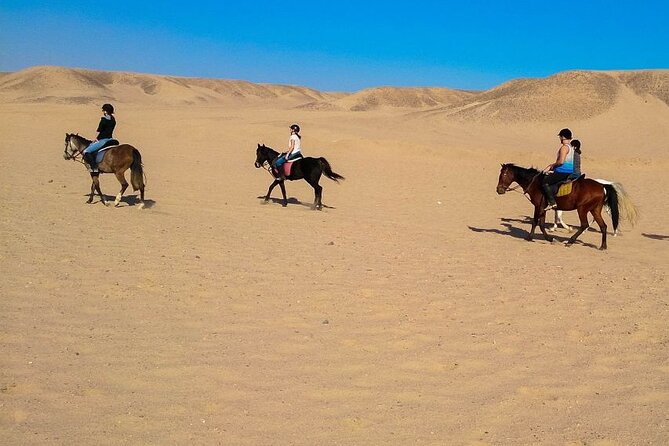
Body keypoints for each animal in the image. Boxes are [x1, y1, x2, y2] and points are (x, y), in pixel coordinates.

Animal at [496, 163, 637, 250]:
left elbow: (537, 222)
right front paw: (548, 237)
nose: (499, 190)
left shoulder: (539, 206)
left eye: (503, 175)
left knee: (584, 225)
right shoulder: (543, 207)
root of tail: (602, 185)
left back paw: (570, 241)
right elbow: (541, 223)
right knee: (603, 226)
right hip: (595, 209)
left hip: (582, 209)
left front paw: (535, 237)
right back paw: (603, 246)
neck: (536, 183)